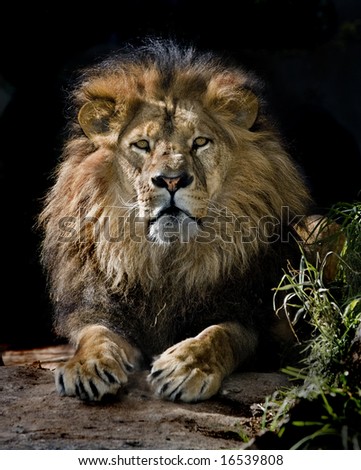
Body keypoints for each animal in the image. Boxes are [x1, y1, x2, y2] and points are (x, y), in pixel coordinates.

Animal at [38, 38, 310, 402]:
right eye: (142, 145)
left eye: (200, 142)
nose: (171, 180)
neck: (166, 258)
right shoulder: (98, 307)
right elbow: (96, 334)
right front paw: (88, 366)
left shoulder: (251, 318)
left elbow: (220, 334)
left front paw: (185, 366)